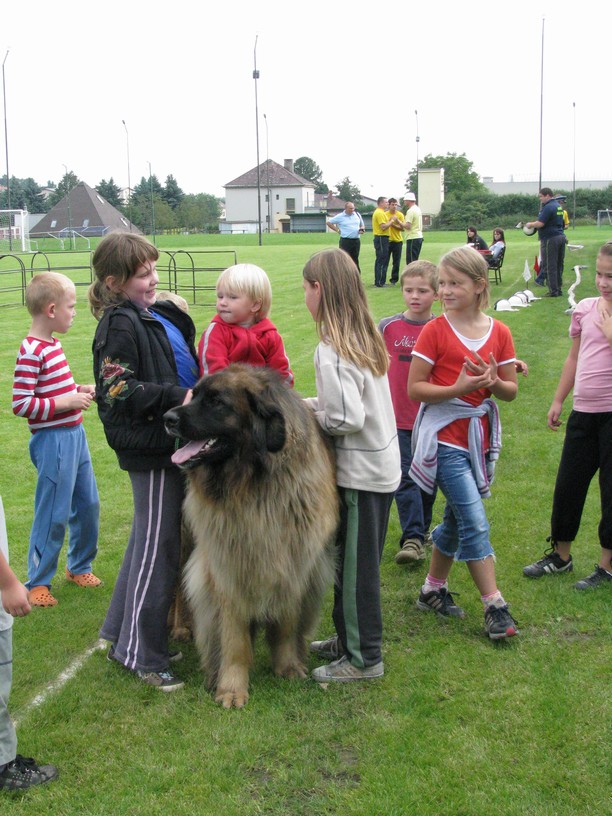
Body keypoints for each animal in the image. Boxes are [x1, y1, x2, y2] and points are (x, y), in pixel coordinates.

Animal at [165, 364, 338, 708]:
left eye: (216, 402)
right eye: (195, 395)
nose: (167, 417)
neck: (254, 486)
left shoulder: (293, 561)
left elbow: (286, 623)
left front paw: (287, 666)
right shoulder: (227, 567)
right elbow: (234, 639)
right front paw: (231, 688)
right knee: (178, 583)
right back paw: (181, 627)